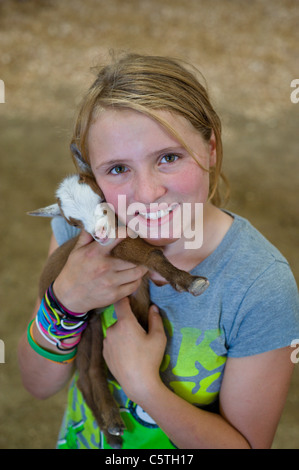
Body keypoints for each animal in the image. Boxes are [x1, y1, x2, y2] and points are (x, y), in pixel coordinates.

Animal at [29, 173, 210, 448]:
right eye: (73, 222)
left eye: (101, 200)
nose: (101, 235)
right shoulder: (116, 250)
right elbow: (152, 253)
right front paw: (189, 282)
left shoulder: (138, 287)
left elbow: (143, 312)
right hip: (81, 328)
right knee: (86, 375)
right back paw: (112, 426)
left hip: (91, 325)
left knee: (89, 372)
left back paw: (111, 430)